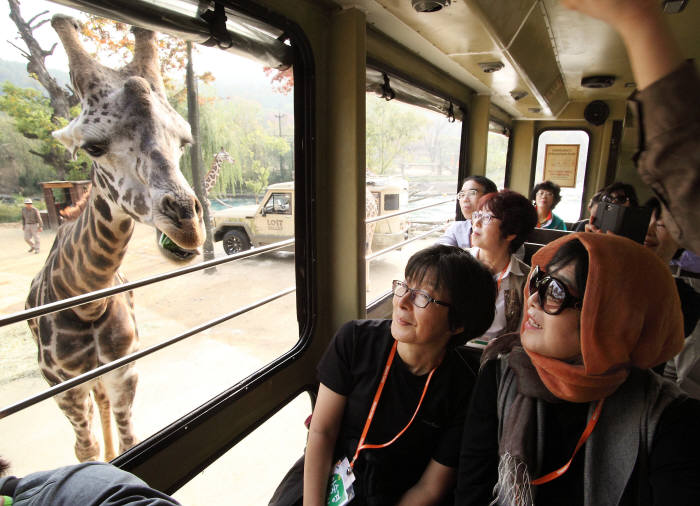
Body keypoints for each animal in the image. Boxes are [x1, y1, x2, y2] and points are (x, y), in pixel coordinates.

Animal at [25, 14, 205, 462]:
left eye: (184, 141)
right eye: (93, 146)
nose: (188, 225)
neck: (87, 300)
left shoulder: (124, 371)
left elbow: (128, 439)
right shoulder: (62, 387)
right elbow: (84, 451)